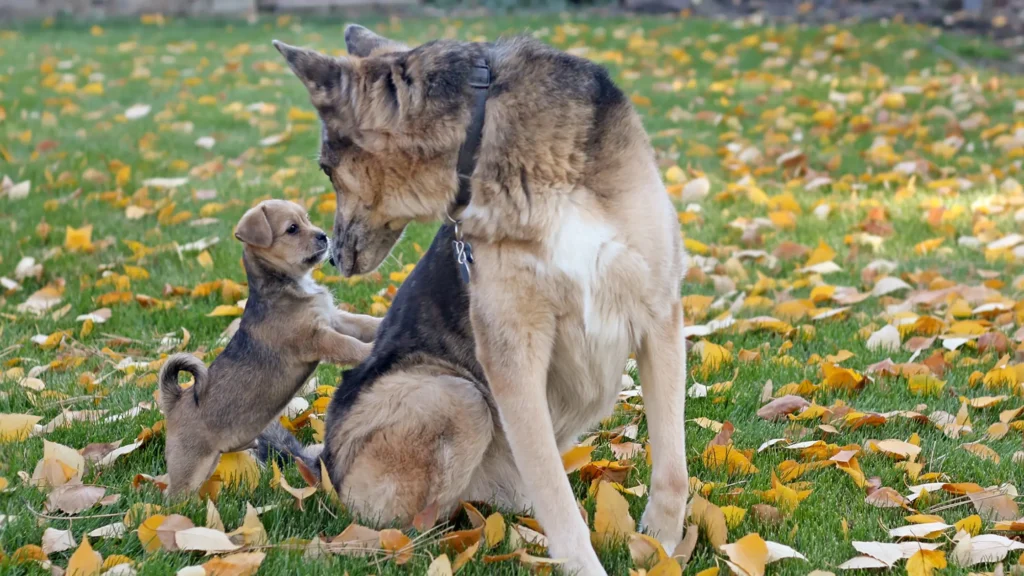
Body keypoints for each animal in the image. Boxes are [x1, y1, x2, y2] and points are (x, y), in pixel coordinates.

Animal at [157, 198, 382, 494]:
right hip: (190, 466)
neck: (290, 284)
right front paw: (369, 351)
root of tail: (176, 400)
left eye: (307, 220)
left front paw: (385, 321)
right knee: (173, 494)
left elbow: (365, 323)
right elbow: (348, 345)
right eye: (292, 229)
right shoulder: (318, 338)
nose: (324, 236)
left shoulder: (335, 319)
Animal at [272, 24, 688, 569]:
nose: (334, 259)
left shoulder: (659, 316)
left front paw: (662, 544)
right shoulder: (513, 352)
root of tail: (322, 462)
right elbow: (554, 491)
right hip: (456, 397)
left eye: (325, 168)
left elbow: (673, 468)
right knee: (410, 528)